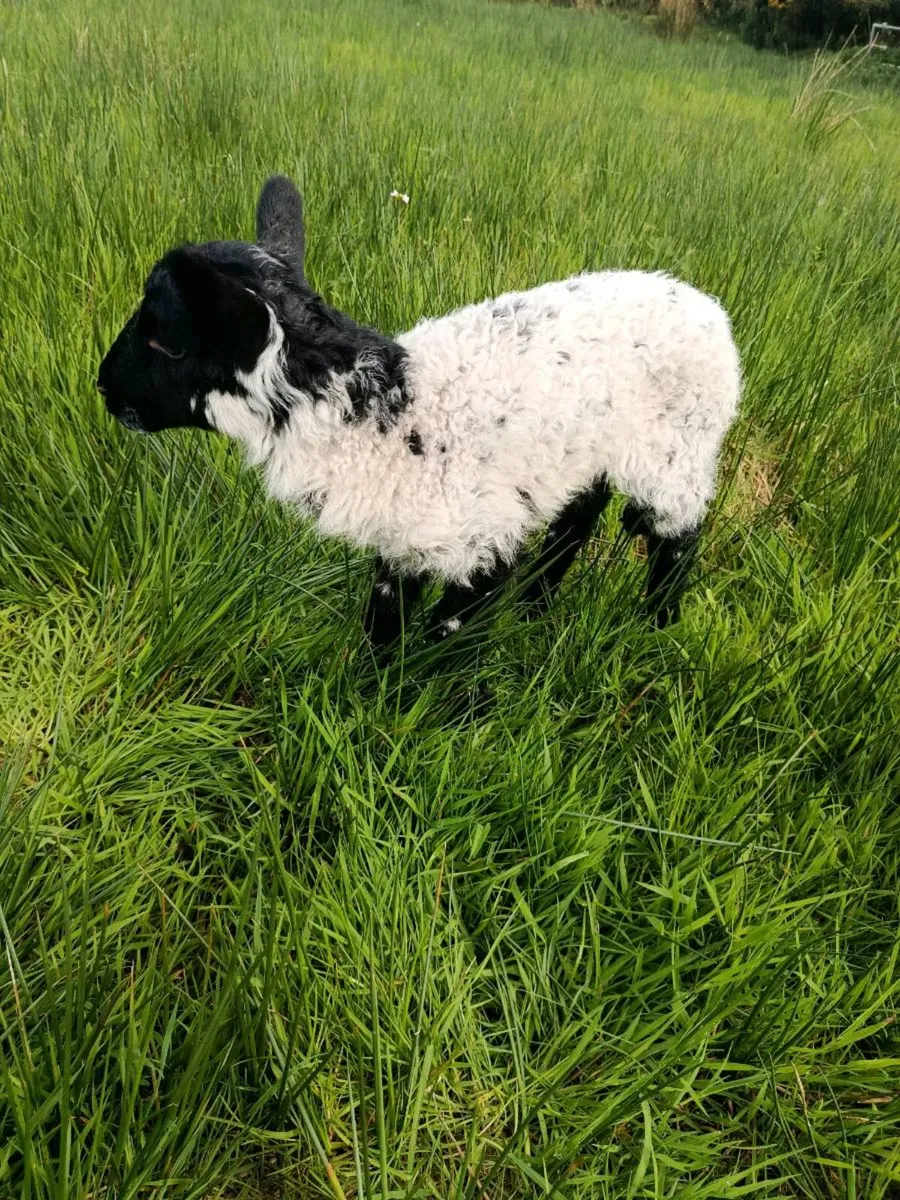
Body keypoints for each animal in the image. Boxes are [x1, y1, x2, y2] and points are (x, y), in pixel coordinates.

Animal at [97, 175, 741, 649]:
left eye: (166, 343)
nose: (103, 387)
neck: (384, 411)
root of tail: (704, 305)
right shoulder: (403, 542)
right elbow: (384, 627)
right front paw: (371, 702)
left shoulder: (482, 540)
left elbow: (444, 637)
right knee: (577, 519)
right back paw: (537, 611)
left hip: (679, 451)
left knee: (677, 538)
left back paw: (656, 630)